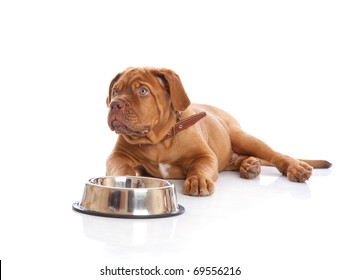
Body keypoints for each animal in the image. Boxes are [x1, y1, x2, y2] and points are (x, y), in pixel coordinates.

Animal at [105, 66, 332, 196]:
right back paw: (249, 166)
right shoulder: (118, 155)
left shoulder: (205, 155)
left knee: (276, 155)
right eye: (115, 90)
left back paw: (295, 168)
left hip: (242, 137)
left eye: (143, 91)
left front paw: (197, 180)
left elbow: (200, 167)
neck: (160, 140)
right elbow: (120, 167)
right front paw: (122, 181)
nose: (115, 104)